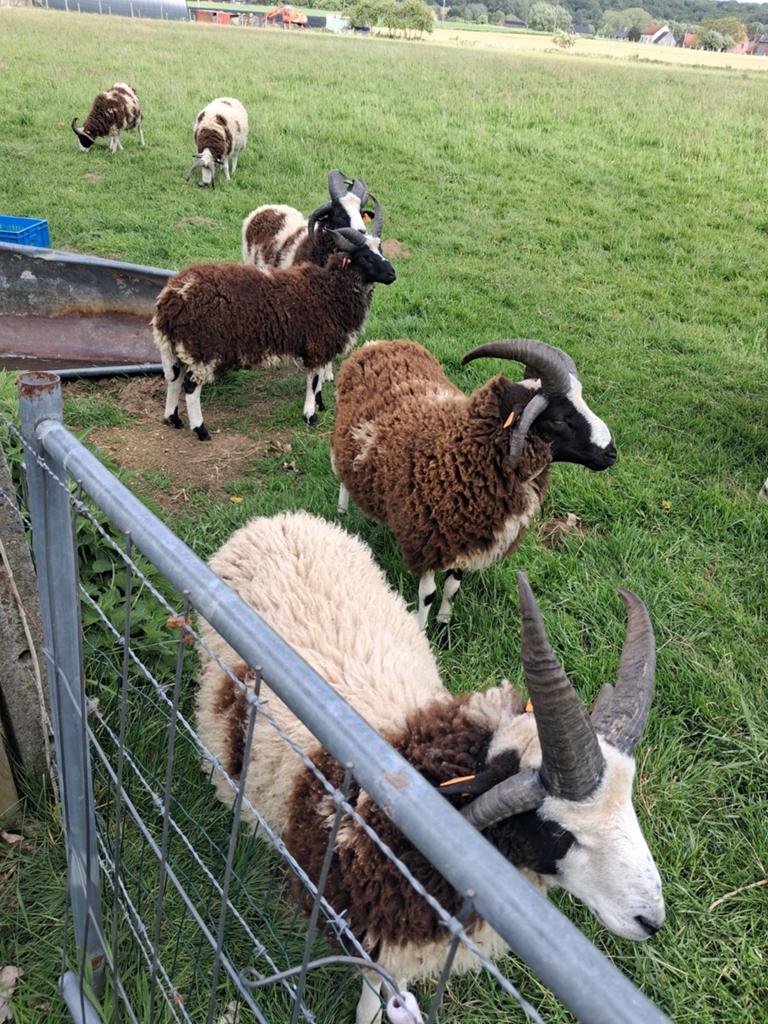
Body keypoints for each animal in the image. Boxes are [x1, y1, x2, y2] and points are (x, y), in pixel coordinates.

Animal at [152, 229, 396, 439]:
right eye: (365, 256)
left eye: (381, 249)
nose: (393, 274)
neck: (330, 289)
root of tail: (172, 296)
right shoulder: (317, 344)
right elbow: (313, 381)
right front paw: (311, 415)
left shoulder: (321, 346)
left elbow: (318, 381)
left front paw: (320, 405)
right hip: (204, 349)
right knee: (190, 388)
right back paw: (200, 430)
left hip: (177, 347)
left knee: (174, 379)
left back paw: (173, 418)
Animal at [196, 511, 665, 1024]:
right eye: (559, 832)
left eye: (629, 802)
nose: (651, 920)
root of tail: (279, 521)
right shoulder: (369, 924)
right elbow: (371, 1002)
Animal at [332, 338, 616, 630]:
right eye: (559, 419)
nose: (611, 453)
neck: (459, 449)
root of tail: (379, 344)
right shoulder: (424, 538)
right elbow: (428, 594)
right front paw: (421, 631)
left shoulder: (467, 534)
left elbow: (452, 587)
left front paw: (444, 623)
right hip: (340, 437)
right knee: (340, 473)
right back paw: (342, 510)